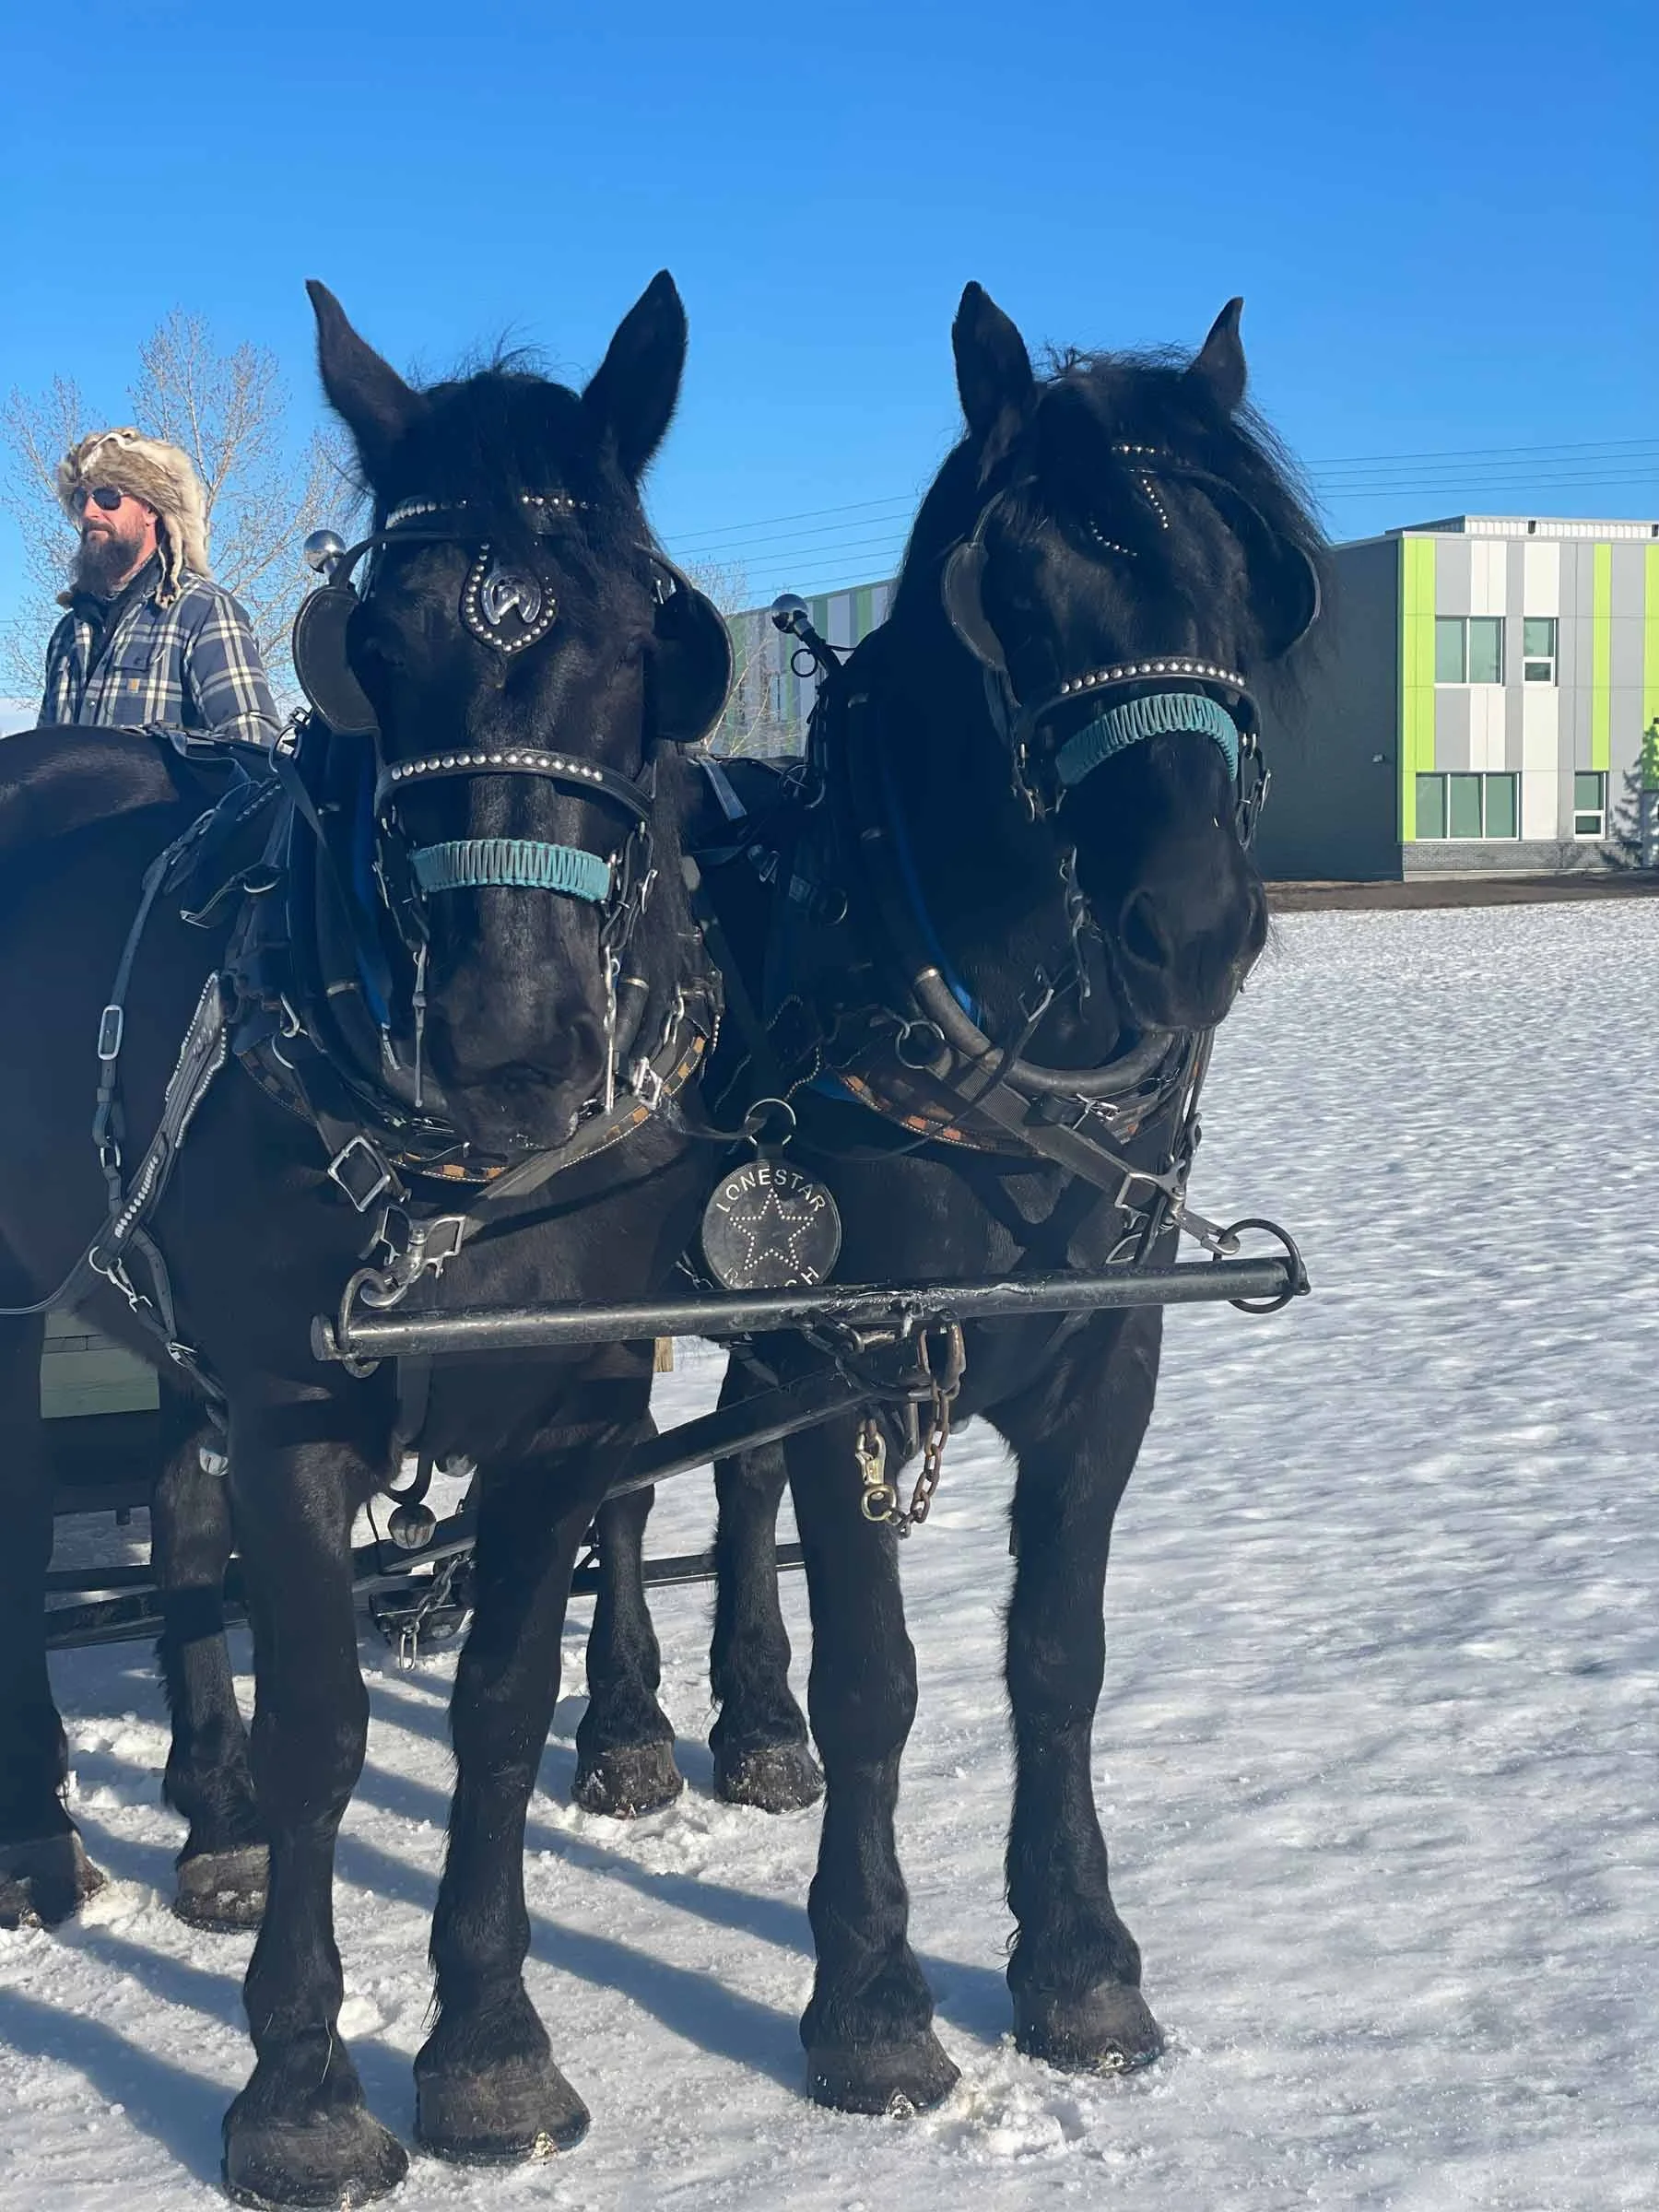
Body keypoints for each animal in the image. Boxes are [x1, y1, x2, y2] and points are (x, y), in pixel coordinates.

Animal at [0, 271, 732, 2206]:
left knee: (179, 1514)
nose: (508, 1044)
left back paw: (212, 1813)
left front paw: (488, 2049)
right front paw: (303, 2085)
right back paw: (40, 1836)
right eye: (371, 644)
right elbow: (330, 1727)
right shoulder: (298, 1415)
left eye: (650, 642)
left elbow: (495, 1713)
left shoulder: (563, 1414)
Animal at [578, 285, 1325, 2113]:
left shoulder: (1106, 1362)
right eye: (1021, 597)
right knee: (614, 1488)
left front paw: (1082, 1967)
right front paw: (870, 2003)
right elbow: (882, 1682)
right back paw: (627, 1732)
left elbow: (1057, 1659)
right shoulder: (865, 1353)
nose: (1194, 928)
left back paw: (748, 1724)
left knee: (736, 1483)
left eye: (1243, 581)